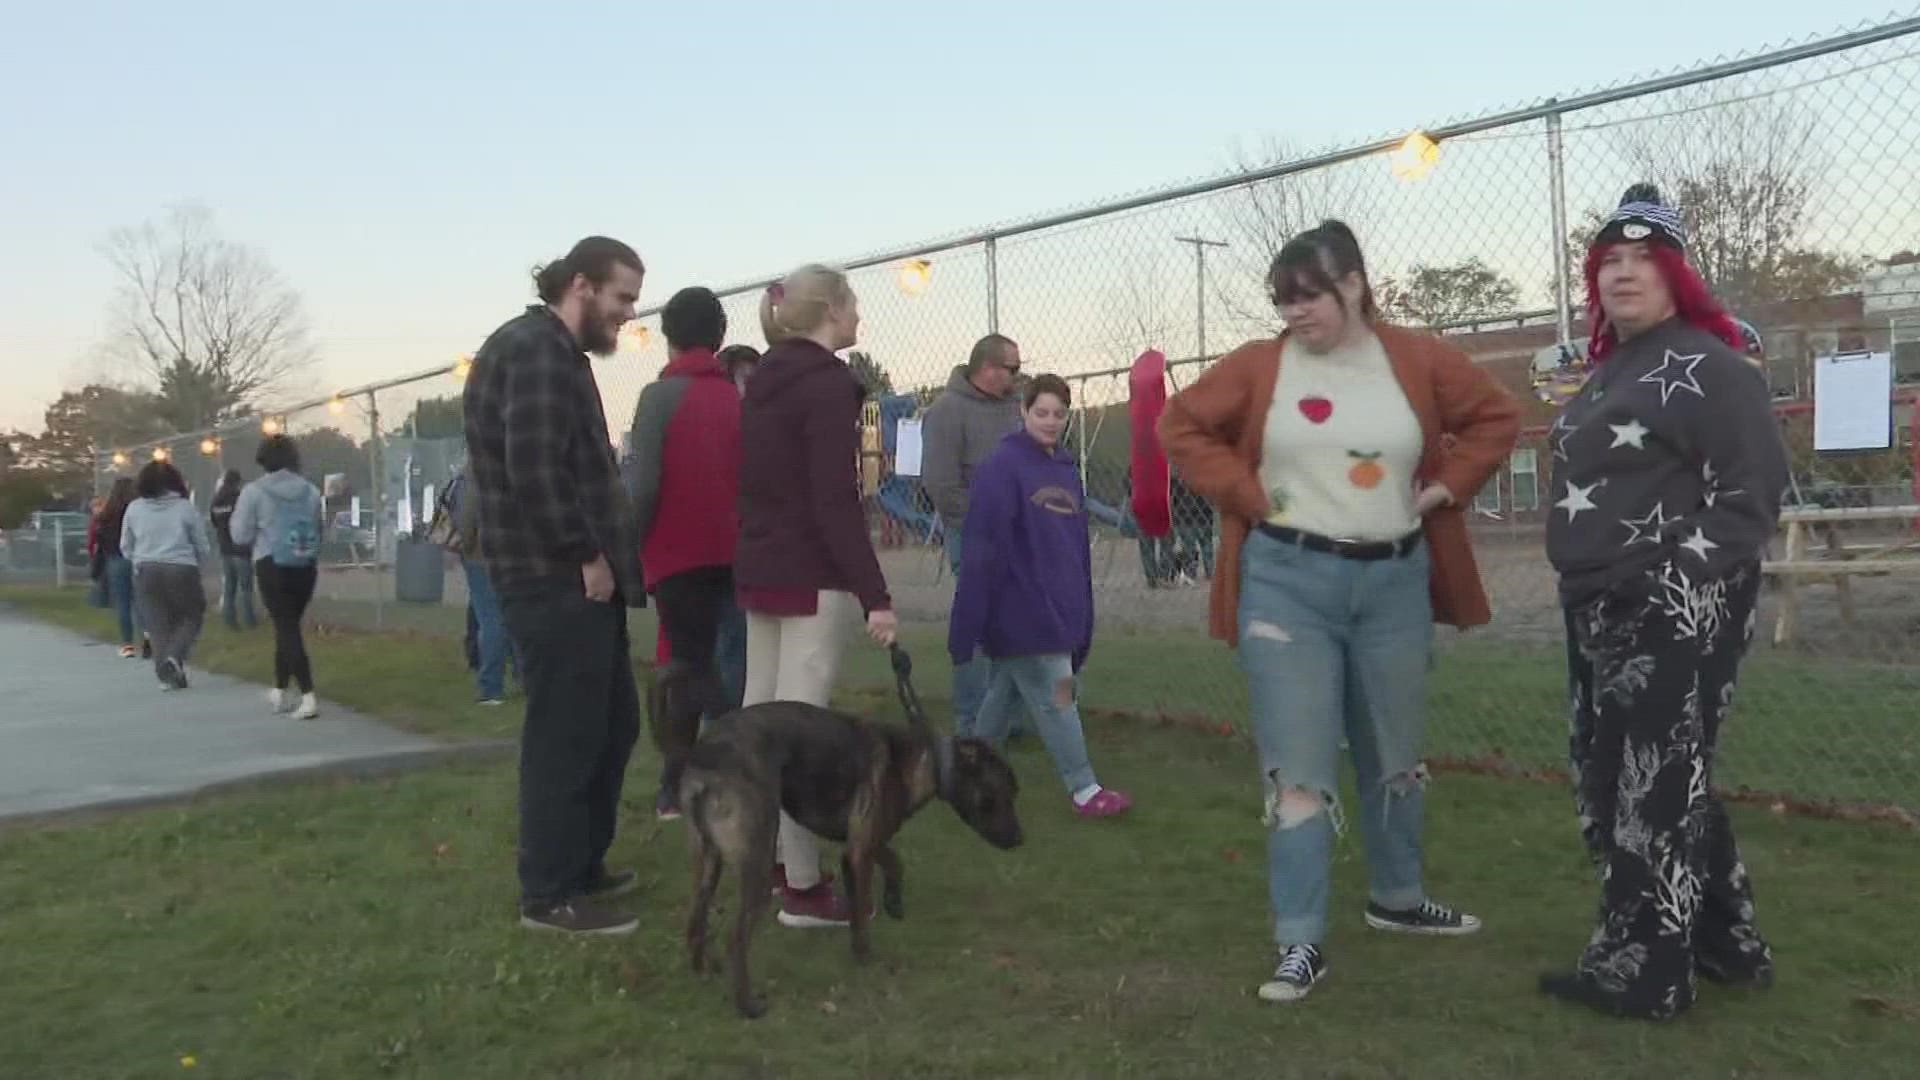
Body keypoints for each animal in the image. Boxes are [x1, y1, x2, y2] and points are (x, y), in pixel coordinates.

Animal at [679, 641, 1029, 1014]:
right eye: (999, 795)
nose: (1020, 839)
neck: (927, 760)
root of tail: (704, 765)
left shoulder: (862, 843)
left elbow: (894, 862)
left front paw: (893, 902)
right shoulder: (860, 853)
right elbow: (861, 910)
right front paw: (865, 956)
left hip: (707, 864)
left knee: (695, 921)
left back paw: (703, 970)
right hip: (756, 864)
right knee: (736, 939)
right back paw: (748, 1004)